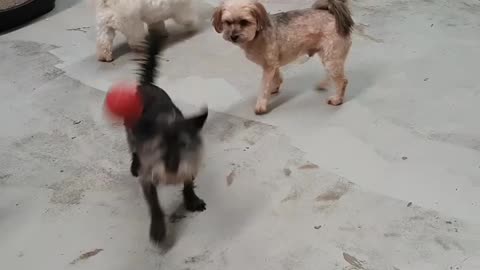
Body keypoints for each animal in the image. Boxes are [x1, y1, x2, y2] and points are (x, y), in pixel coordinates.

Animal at [212, 0, 354, 114]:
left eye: (244, 22)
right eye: (227, 22)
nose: (233, 36)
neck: (257, 35)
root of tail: (332, 14)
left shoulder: (269, 66)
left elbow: (263, 87)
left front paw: (261, 105)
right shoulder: (272, 64)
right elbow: (276, 77)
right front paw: (274, 87)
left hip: (331, 58)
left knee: (342, 81)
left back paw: (337, 99)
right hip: (328, 57)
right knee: (332, 75)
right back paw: (323, 84)